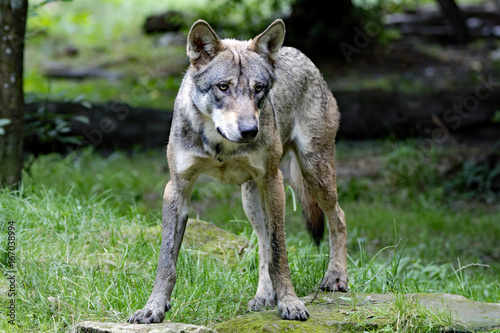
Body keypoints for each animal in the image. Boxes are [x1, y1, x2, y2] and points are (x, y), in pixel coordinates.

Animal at [129, 18, 348, 322]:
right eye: (223, 87)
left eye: (259, 88)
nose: (250, 131)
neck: (221, 145)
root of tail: (298, 53)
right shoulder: (177, 187)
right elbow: (166, 261)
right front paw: (153, 308)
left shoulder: (273, 181)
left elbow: (280, 254)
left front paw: (290, 303)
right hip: (252, 201)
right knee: (263, 243)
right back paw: (264, 296)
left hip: (314, 173)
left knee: (338, 217)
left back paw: (336, 277)